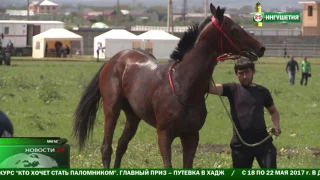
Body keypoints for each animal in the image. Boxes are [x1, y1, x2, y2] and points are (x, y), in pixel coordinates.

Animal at [74, 3, 266, 168]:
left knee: (122, 145)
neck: (184, 85)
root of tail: (114, 59)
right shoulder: (164, 135)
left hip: (133, 116)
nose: (261, 47)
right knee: (107, 148)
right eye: (235, 30)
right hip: (111, 110)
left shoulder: (191, 136)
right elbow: (168, 165)